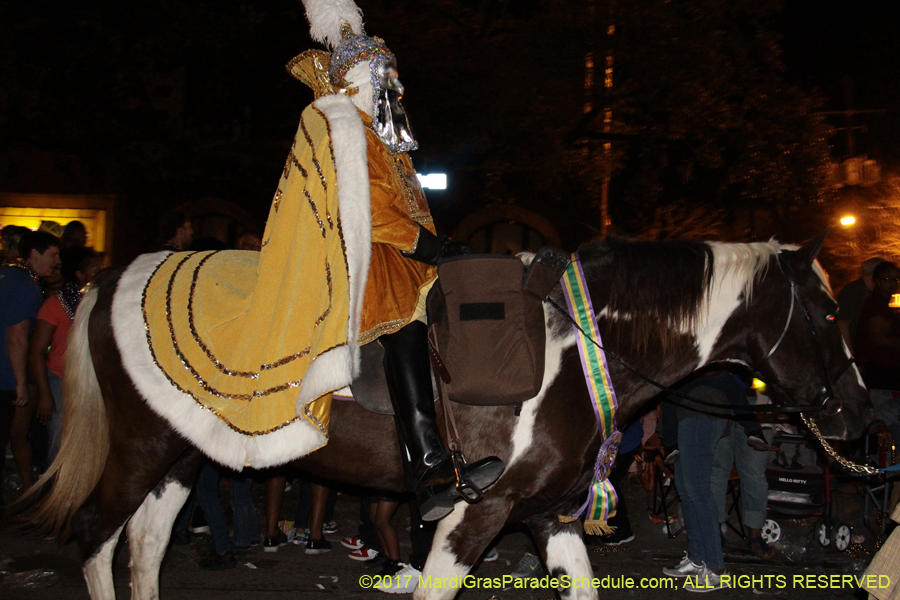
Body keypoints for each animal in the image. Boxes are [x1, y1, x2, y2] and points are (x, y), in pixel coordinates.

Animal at [26, 234, 872, 600]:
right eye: (830, 313)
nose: (861, 410)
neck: (578, 345)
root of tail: (113, 277)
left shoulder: (550, 515)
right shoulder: (477, 512)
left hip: (182, 458)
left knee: (142, 550)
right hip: (140, 449)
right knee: (96, 537)